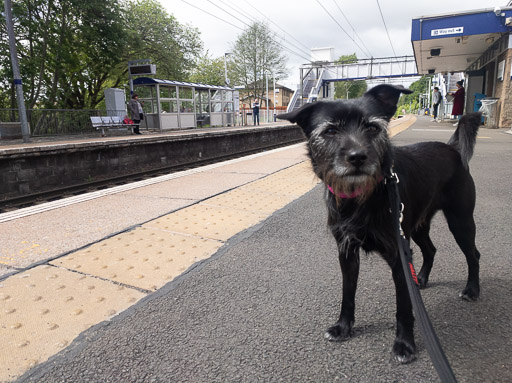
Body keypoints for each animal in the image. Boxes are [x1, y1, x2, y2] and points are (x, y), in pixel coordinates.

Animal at [278, 85, 482, 364]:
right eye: (330, 131)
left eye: (373, 127)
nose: (357, 157)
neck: (362, 197)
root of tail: (452, 148)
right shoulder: (347, 252)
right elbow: (348, 294)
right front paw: (343, 327)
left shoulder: (398, 256)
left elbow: (404, 305)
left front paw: (405, 344)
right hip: (416, 227)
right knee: (430, 249)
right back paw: (422, 278)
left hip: (460, 221)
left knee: (473, 254)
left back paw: (472, 289)